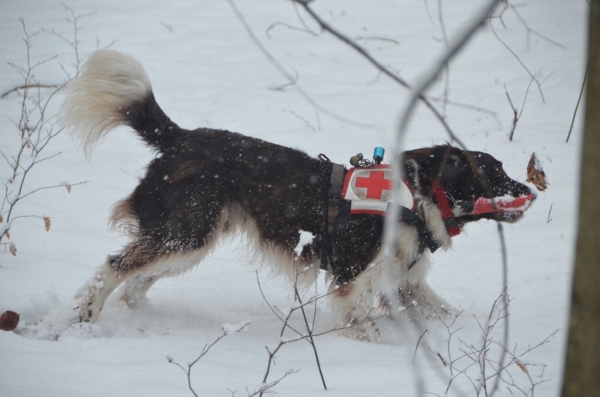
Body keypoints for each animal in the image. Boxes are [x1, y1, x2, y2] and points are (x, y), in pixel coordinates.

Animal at [61, 49, 536, 340]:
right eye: (495, 173)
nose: (530, 189)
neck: (417, 201)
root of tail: (179, 137)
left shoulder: (405, 284)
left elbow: (445, 314)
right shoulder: (352, 281)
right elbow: (364, 327)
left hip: (189, 240)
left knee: (135, 281)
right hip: (185, 233)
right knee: (114, 268)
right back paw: (84, 318)